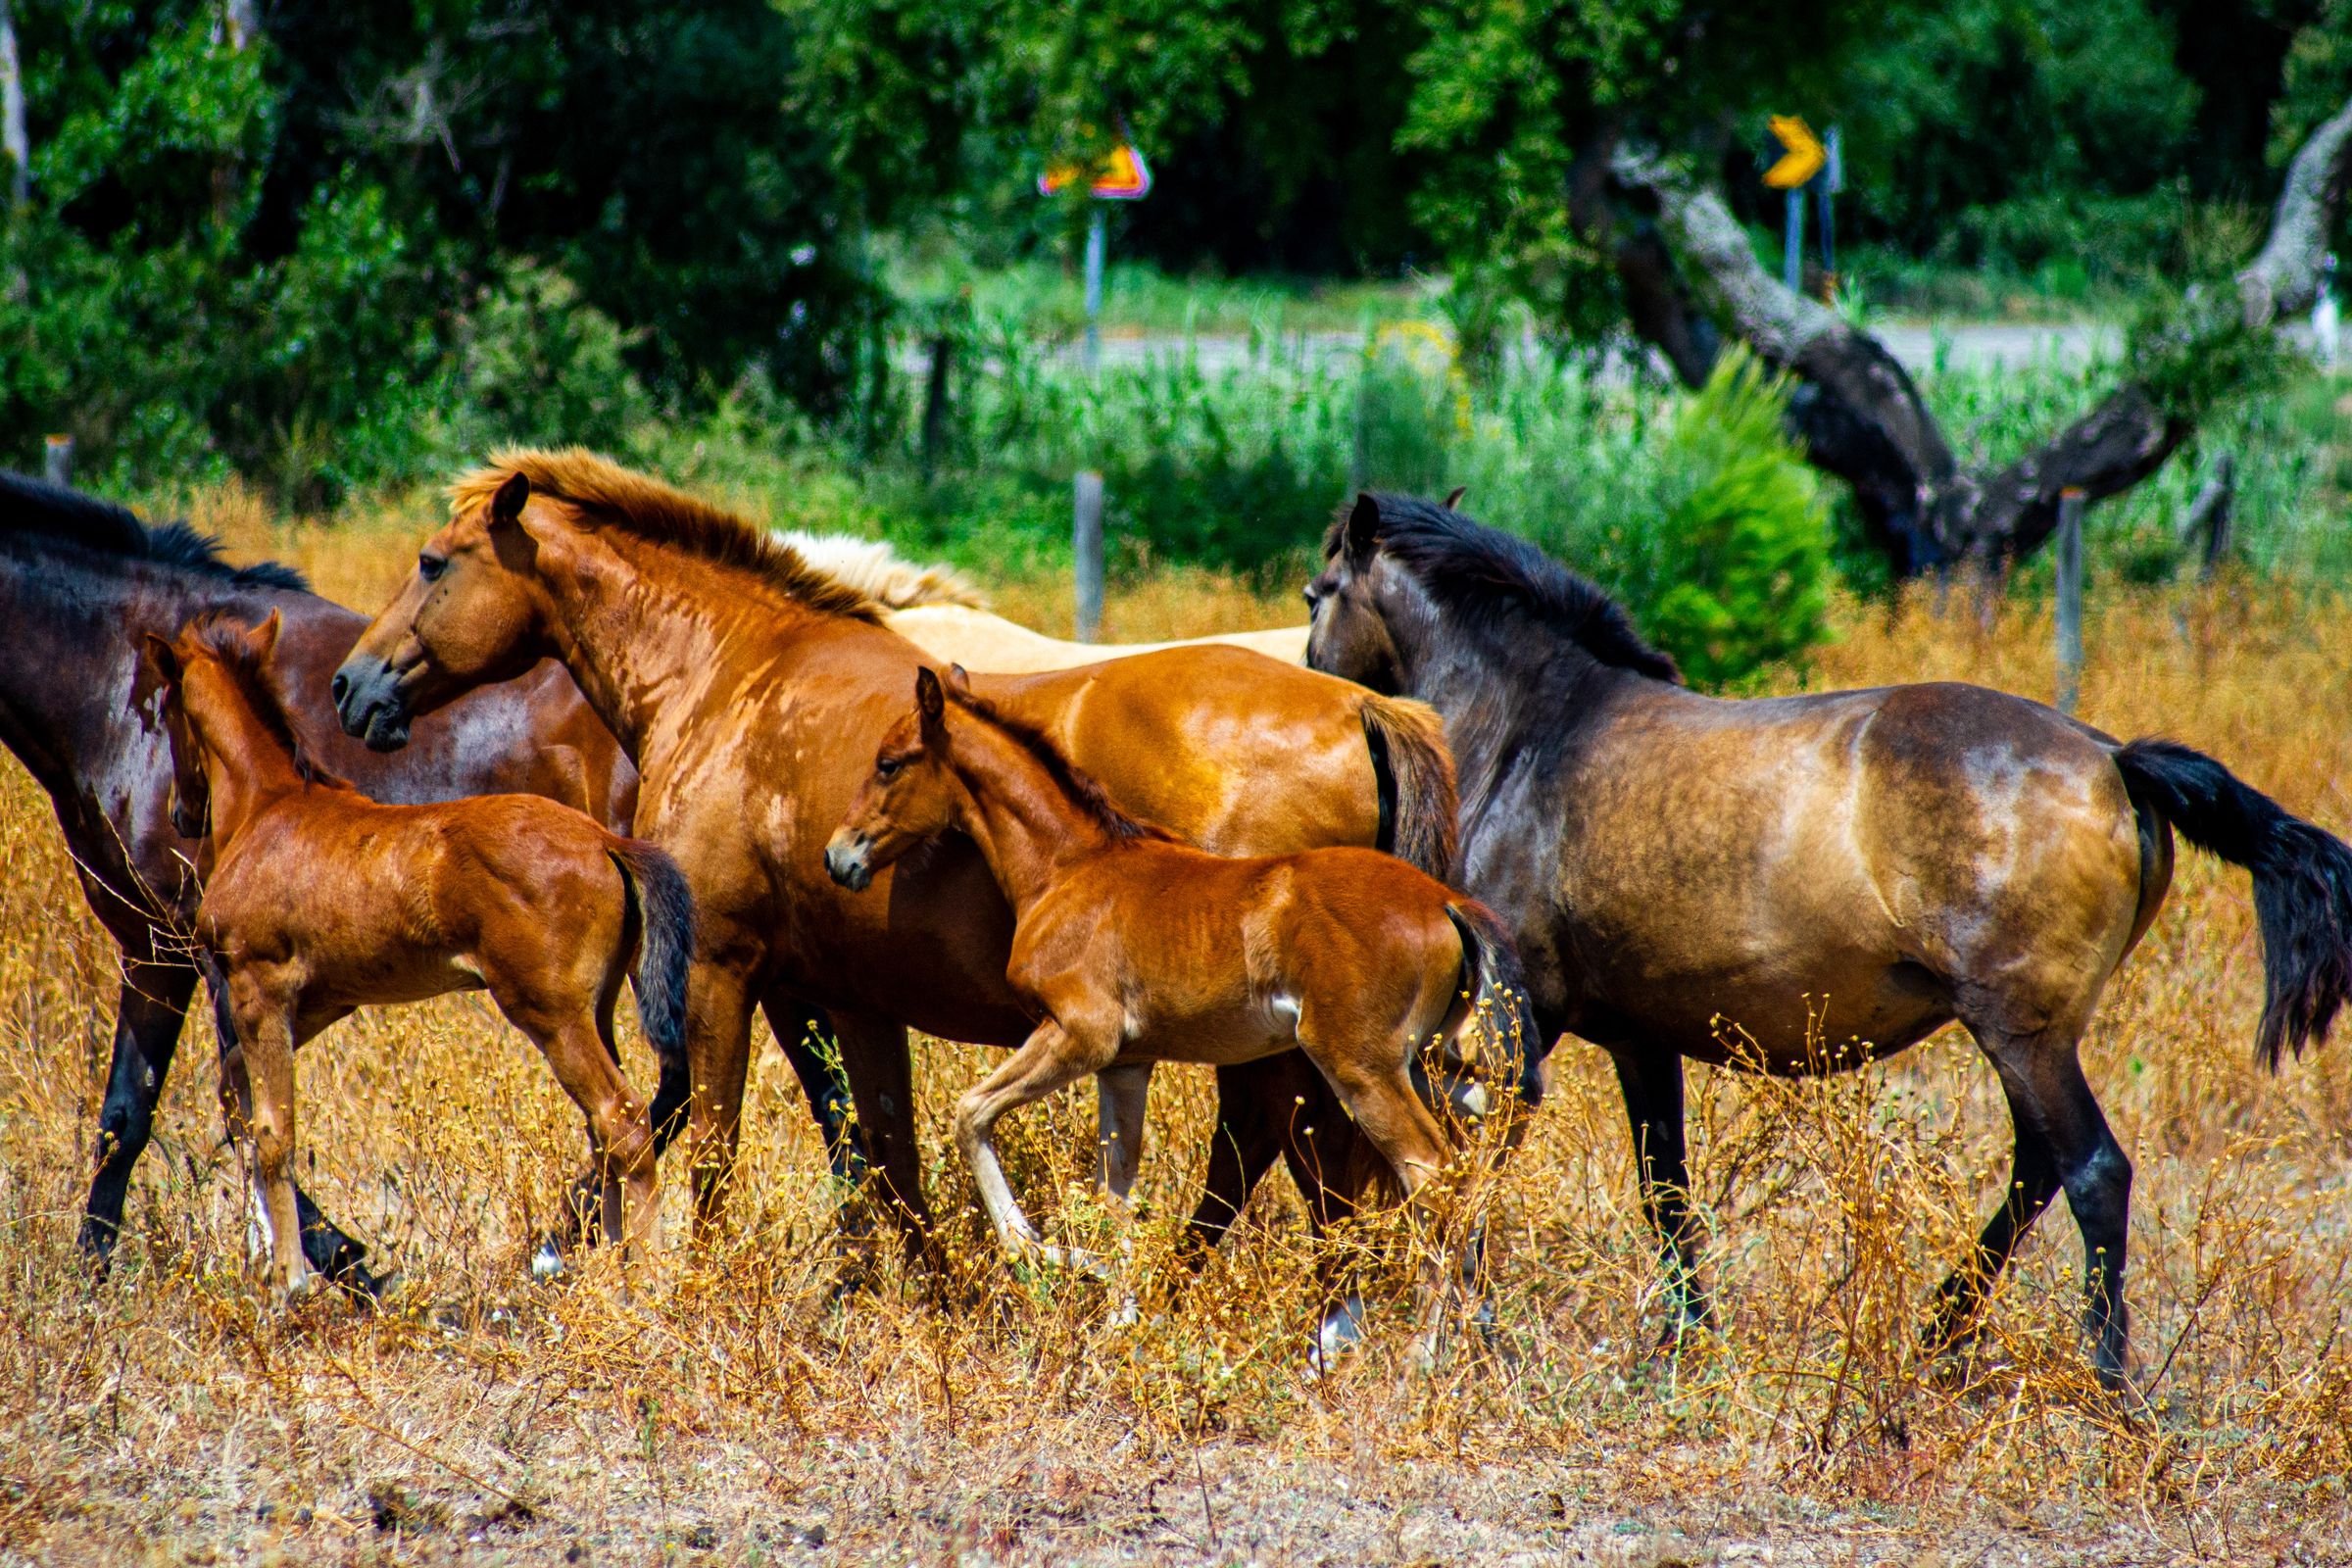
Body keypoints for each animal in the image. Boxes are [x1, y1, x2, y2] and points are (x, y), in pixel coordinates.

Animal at [0, 468, 635, 1290]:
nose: (185, 812)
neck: (107, 678)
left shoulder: (203, 956)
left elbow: (231, 1106)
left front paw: (330, 1260)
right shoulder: (159, 949)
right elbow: (135, 1113)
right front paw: (97, 1263)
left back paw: (562, 1250)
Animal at [145, 611, 695, 1299]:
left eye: (162, 708)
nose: (180, 811)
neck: (267, 810)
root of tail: (605, 841)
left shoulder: (259, 989)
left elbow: (274, 1131)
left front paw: (290, 1282)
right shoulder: (321, 1002)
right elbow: (236, 1097)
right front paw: (263, 1260)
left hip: (551, 1014)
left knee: (623, 1121)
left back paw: (640, 1282)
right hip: (593, 1012)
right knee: (606, 1131)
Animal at [327, 451, 1460, 1315]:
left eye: (433, 562)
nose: (351, 685)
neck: (731, 676)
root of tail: (1360, 705)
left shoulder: (725, 973)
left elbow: (713, 1139)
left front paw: (690, 1278)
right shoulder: (832, 996)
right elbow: (876, 1147)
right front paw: (921, 1290)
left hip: (1285, 1038)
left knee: (1286, 1151)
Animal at [825, 665, 1536, 1348]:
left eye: (889, 762)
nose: (839, 855)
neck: (1069, 870)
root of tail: (1445, 902)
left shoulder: (1079, 1036)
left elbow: (972, 1115)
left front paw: (1051, 1256)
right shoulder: (1125, 1065)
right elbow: (1117, 1183)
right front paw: (1119, 1321)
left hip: (1361, 1068)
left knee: (1433, 1175)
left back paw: (1424, 1353)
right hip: (1431, 1067)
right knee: (1479, 1150)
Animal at [1302, 491, 2352, 1389]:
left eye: (1318, 593)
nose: (1317, 692)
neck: (1536, 737)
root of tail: (2112, 759)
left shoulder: (1517, 1023)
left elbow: (1476, 1167)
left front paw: (1461, 1324)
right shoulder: (1639, 1038)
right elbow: (1665, 1189)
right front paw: (1688, 1343)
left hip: (2020, 1031)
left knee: (2092, 1172)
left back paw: (2104, 1377)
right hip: (2032, 1037)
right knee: (2038, 1169)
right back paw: (1941, 1331)